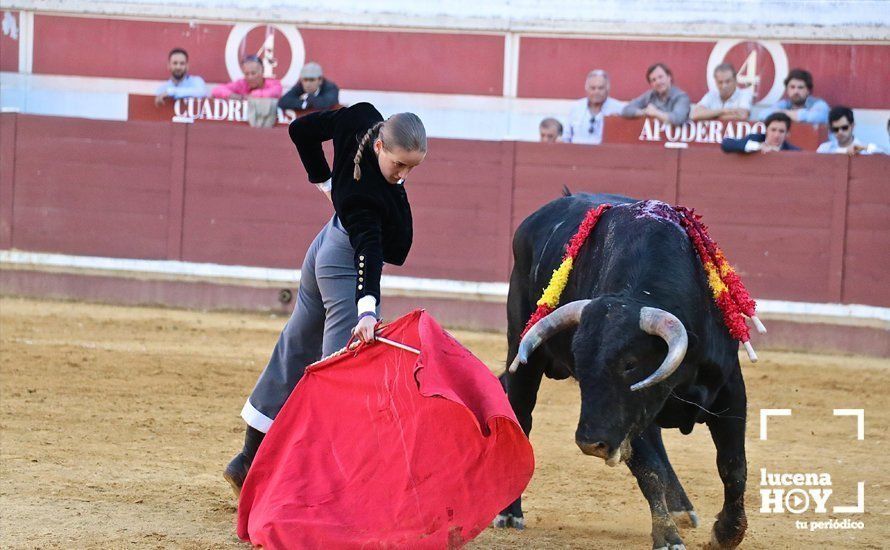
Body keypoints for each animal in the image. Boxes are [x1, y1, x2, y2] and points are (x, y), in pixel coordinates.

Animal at [496, 192, 744, 548]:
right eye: (580, 364)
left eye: (629, 364)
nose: (591, 444)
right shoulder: (628, 413)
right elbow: (649, 468)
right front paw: (667, 536)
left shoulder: (729, 389)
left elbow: (732, 465)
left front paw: (727, 533)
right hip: (521, 348)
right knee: (521, 415)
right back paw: (509, 512)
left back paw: (681, 507)